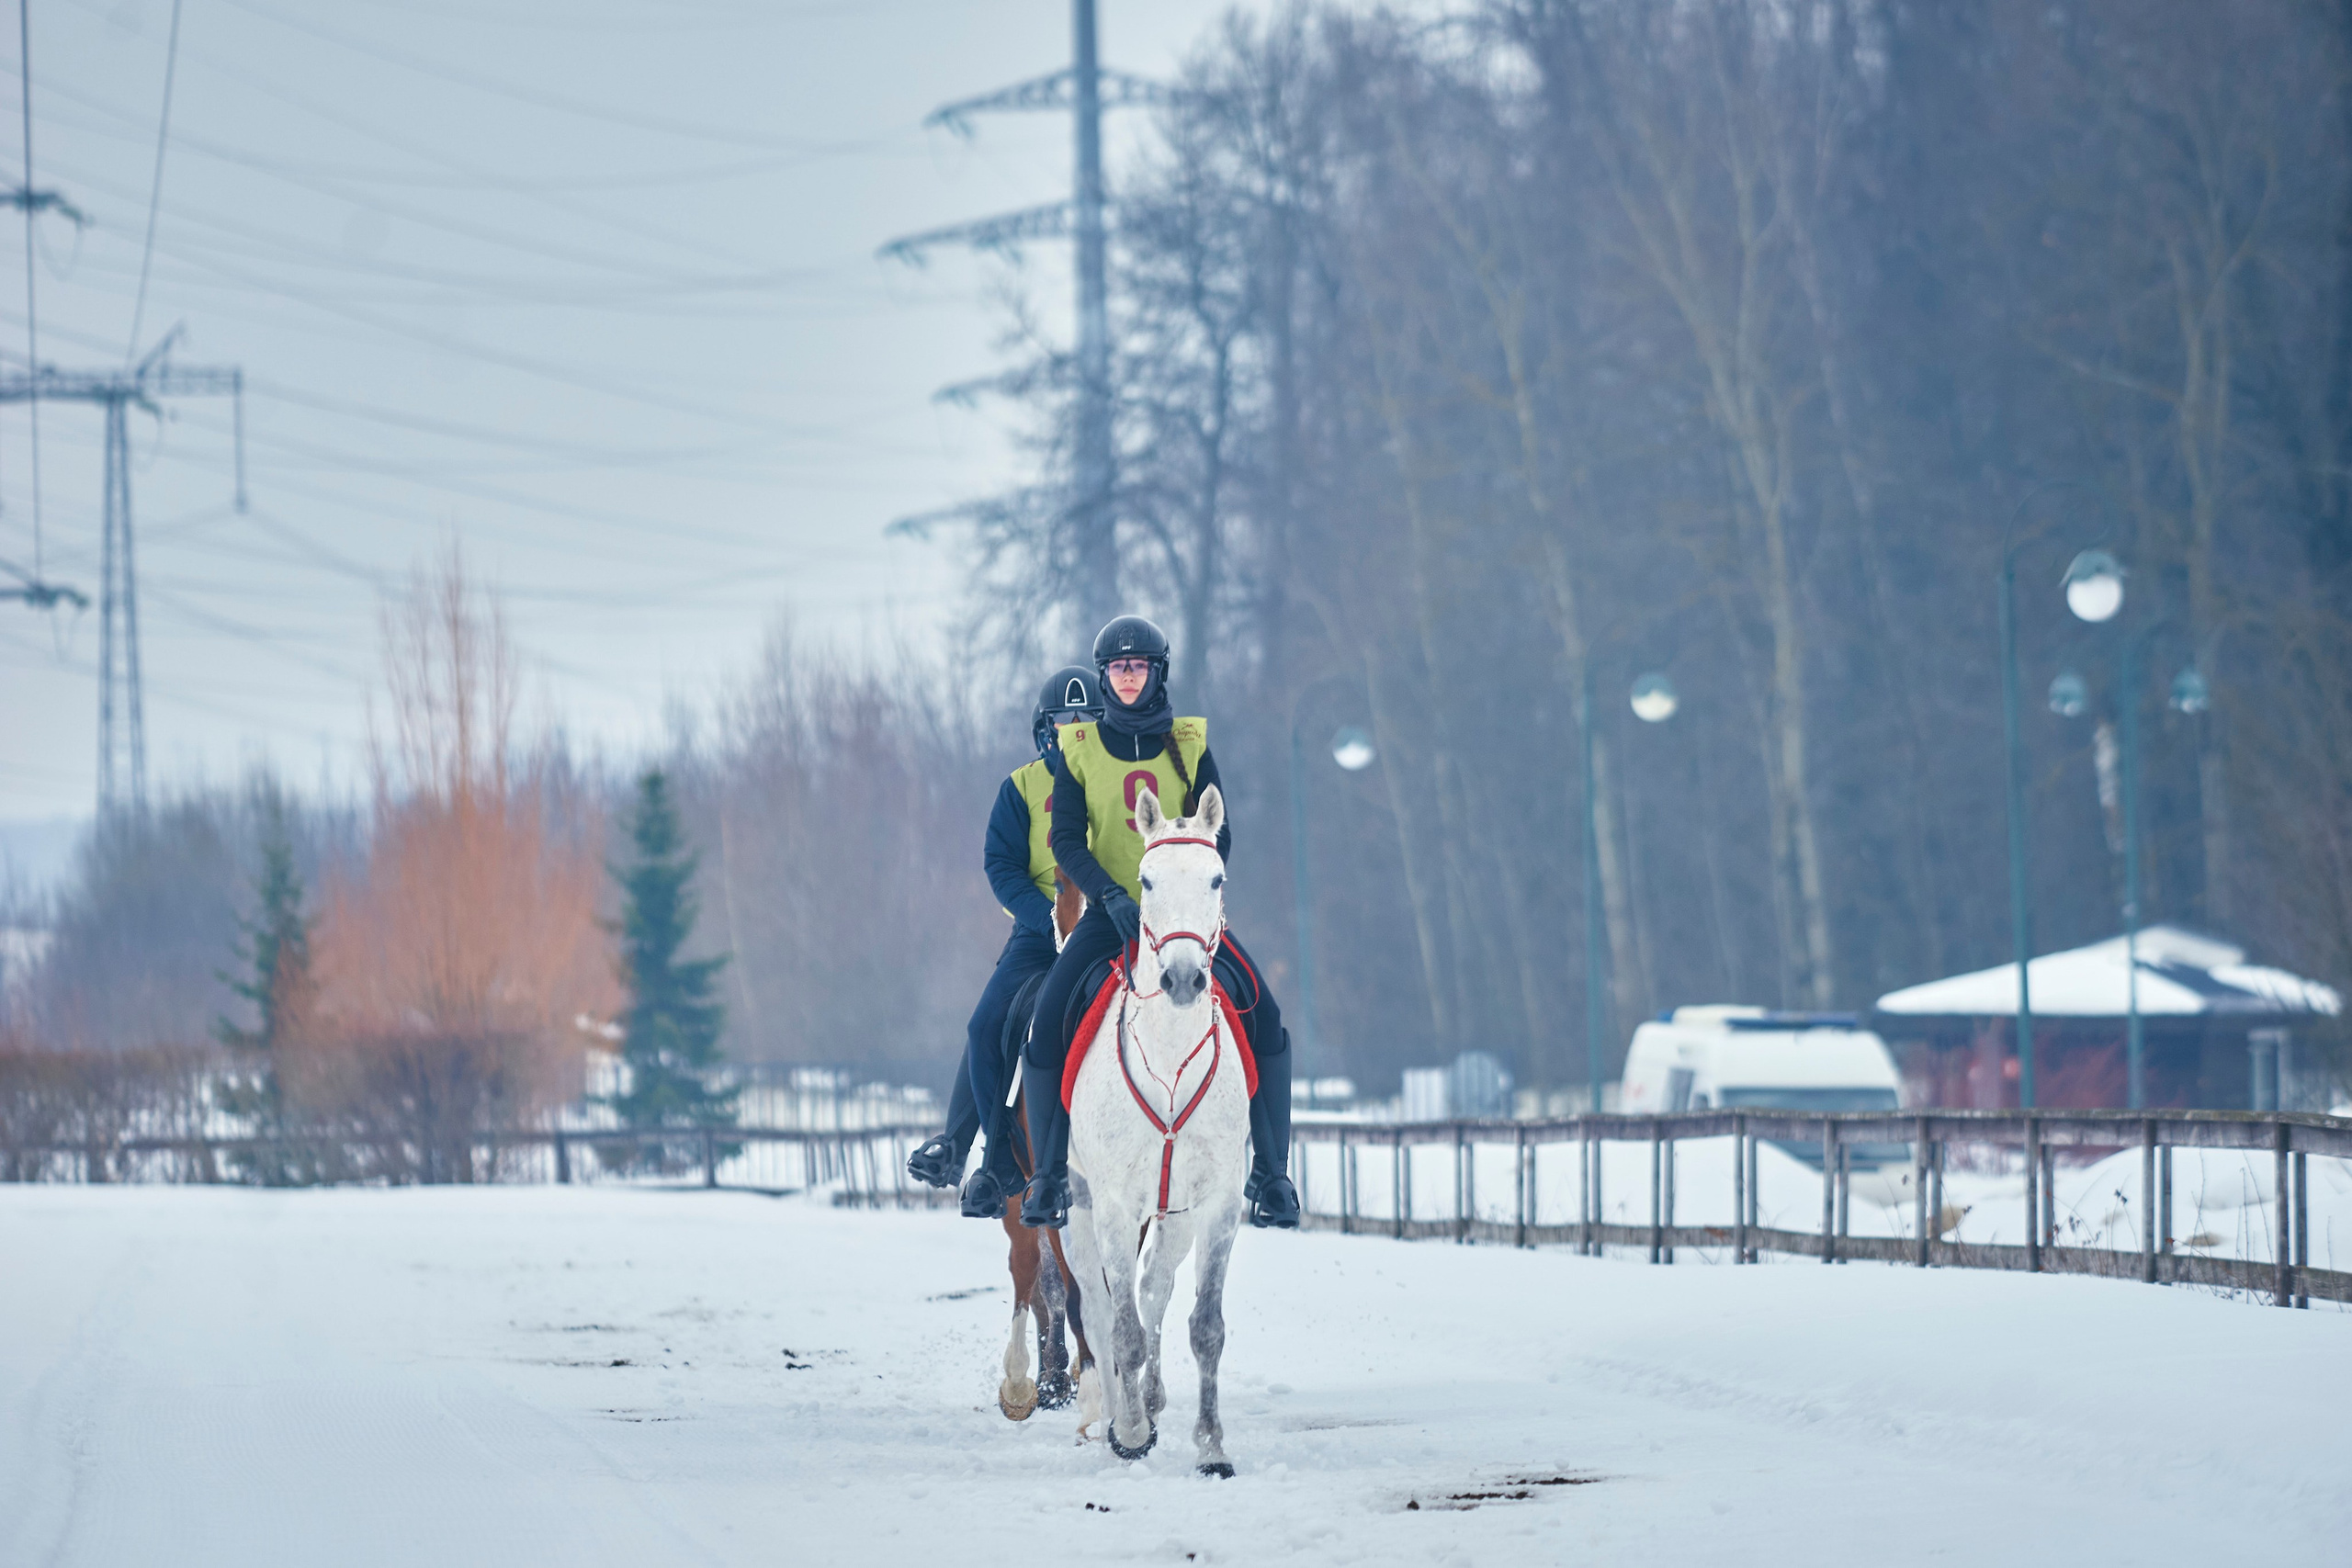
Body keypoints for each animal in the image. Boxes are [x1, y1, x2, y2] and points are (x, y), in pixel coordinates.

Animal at [1057, 783, 1250, 1476]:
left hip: (1176, 1214)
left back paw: (1155, 1399)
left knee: (1154, 1288)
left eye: (1217, 877)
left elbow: (1205, 1326)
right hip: (1075, 1204)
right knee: (1095, 1303)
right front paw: (1132, 1432)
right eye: (1145, 881)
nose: (1185, 978)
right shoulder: (1114, 1204)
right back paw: (1116, 1415)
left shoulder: (1217, 1202)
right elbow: (1121, 1329)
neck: (1167, 1061)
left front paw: (1212, 1446)